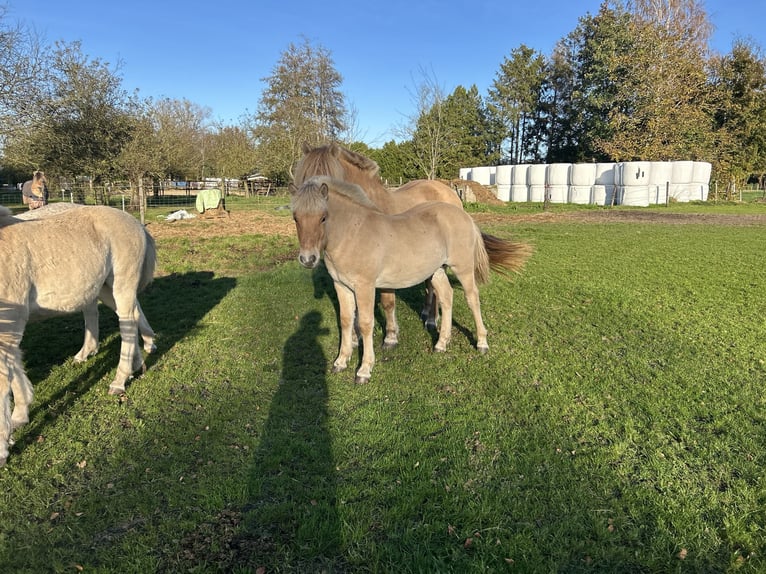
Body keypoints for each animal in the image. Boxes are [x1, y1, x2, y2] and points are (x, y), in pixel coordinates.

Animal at [0, 206, 157, 468]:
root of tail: (136, 223)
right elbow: (16, 374)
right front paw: (20, 417)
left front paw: (2, 448)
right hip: (104, 287)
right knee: (132, 315)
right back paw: (137, 363)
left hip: (122, 283)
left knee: (126, 322)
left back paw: (119, 381)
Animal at [292, 142, 462, 348]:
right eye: (303, 179)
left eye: (326, 182)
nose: (308, 259)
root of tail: (448, 190)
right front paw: (354, 339)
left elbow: (387, 302)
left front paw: (390, 336)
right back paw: (425, 313)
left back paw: (431, 319)